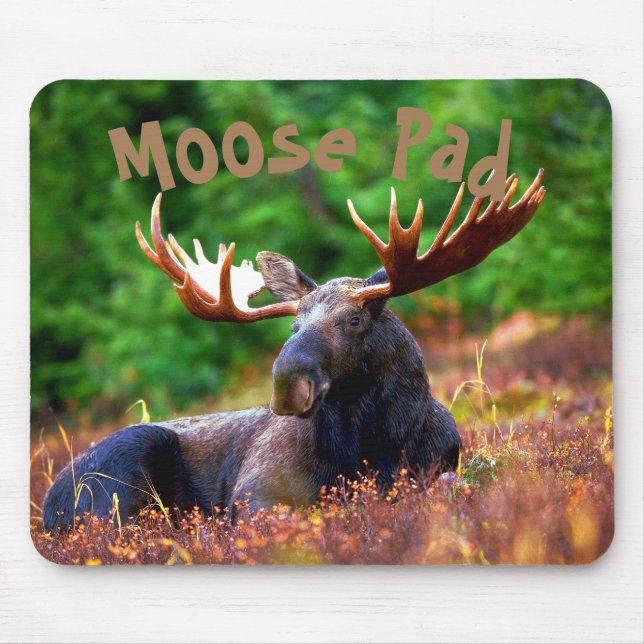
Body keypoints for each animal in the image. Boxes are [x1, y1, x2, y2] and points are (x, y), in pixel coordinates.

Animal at [42, 170, 546, 532]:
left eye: (354, 319)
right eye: (294, 324)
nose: (287, 385)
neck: (377, 445)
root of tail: (47, 504)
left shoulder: (441, 464)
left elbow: (446, 484)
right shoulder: (255, 492)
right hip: (123, 469)